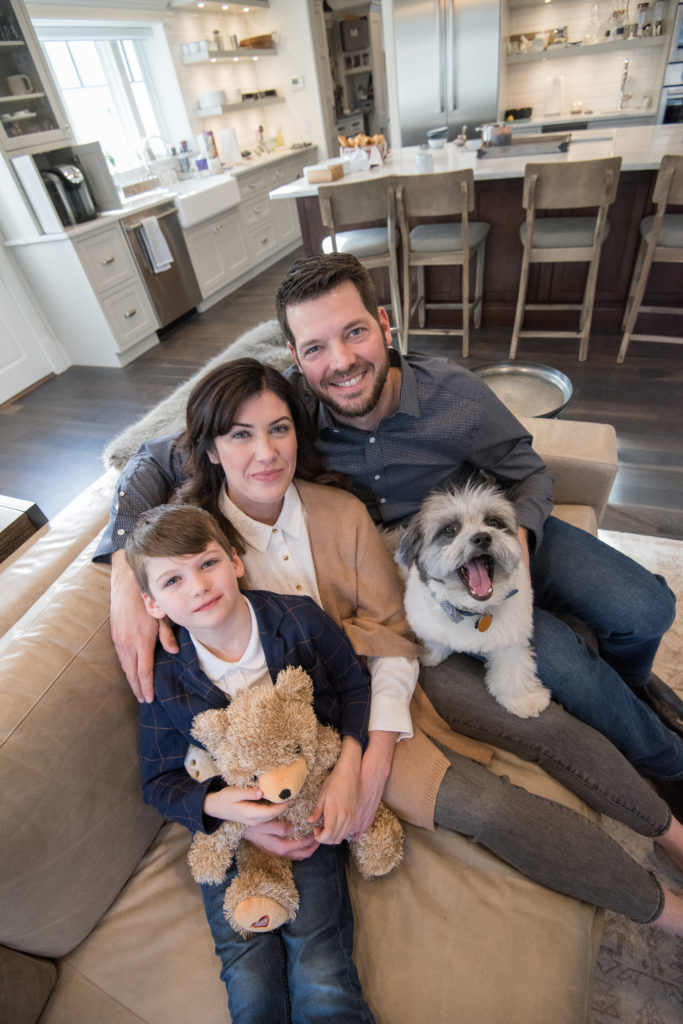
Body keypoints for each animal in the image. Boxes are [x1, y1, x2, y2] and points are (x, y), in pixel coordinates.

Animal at [397, 481, 552, 716]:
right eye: (449, 529)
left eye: (493, 522)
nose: (482, 537)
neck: (470, 610)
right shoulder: (428, 624)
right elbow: (436, 642)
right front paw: (430, 655)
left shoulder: (510, 640)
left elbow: (513, 670)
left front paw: (522, 700)